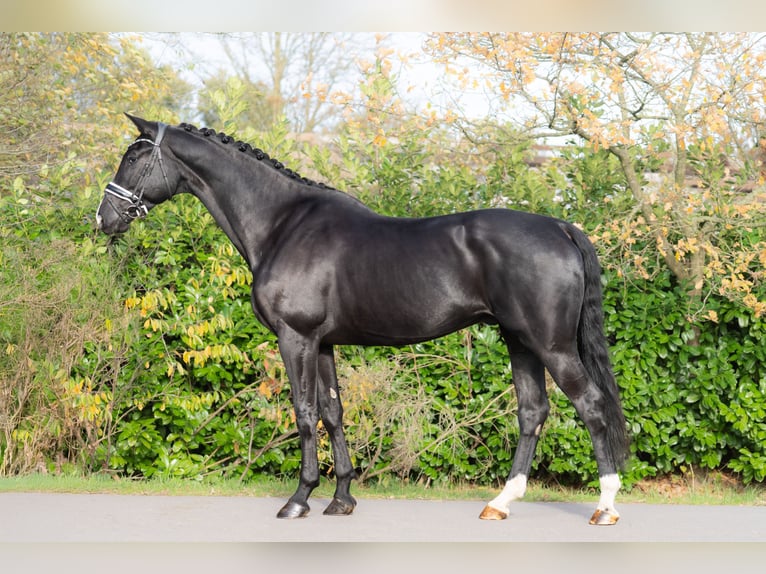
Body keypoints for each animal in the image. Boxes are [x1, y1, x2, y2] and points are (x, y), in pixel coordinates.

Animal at [97, 114, 629, 525]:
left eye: (135, 158)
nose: (104, 218)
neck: (283, 224)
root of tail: (559, 227)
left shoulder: (296, 338)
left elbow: (305, 413)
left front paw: (299, 500)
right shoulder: (324, 343)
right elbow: (333, 413)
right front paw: (342, 499)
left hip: (551, 345)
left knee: (591, 406)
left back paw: (604, 506)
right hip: (520, 341)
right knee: (533, 413)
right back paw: (500, 503)